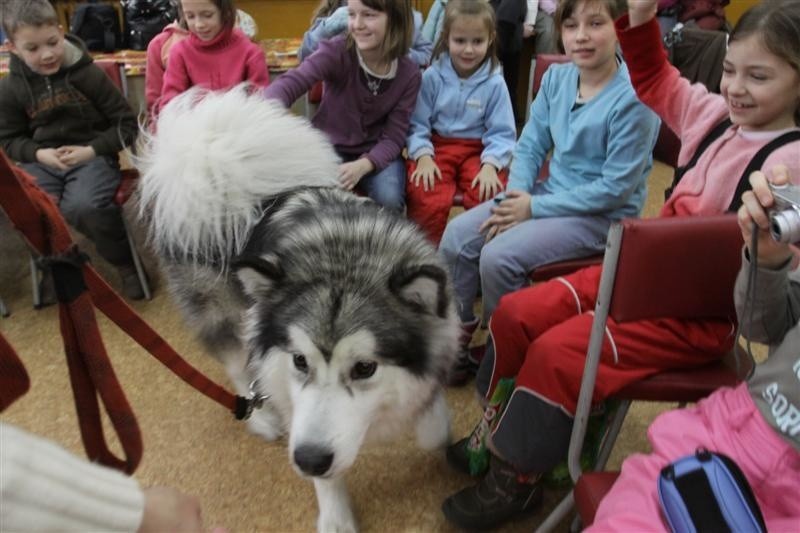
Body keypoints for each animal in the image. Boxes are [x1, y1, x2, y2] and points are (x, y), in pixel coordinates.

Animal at [135, 88, 460, 532]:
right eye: (300, 361)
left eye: (365, 368)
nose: (308, 460)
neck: (344, 251)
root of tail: (205, 161)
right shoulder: (290, 391)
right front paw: (335, 514)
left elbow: (434, 427)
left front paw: (431, 425)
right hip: (224, 314)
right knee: (238, 366)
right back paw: (257, 416)